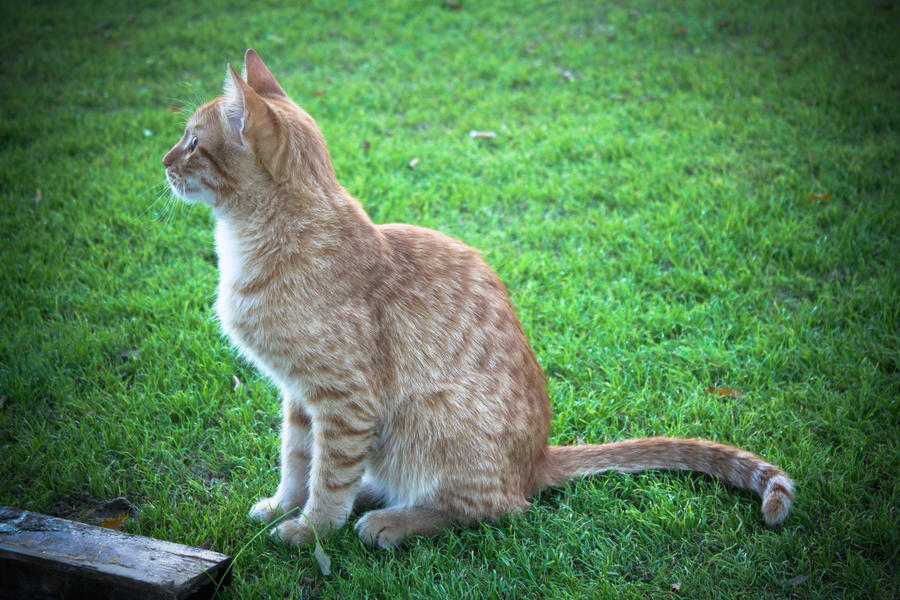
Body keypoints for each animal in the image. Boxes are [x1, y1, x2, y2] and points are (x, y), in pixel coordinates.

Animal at [163, 50, 796, 548]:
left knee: (495, 509)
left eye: (193, 142)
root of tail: (539, 458)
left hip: (435, 419)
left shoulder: (344, 402)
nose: (165, 163)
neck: (253, 243)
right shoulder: (298, 397)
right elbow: (297, 462)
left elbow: (328, 476)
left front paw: (312, 529)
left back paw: (392, 522)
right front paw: (282, 507)